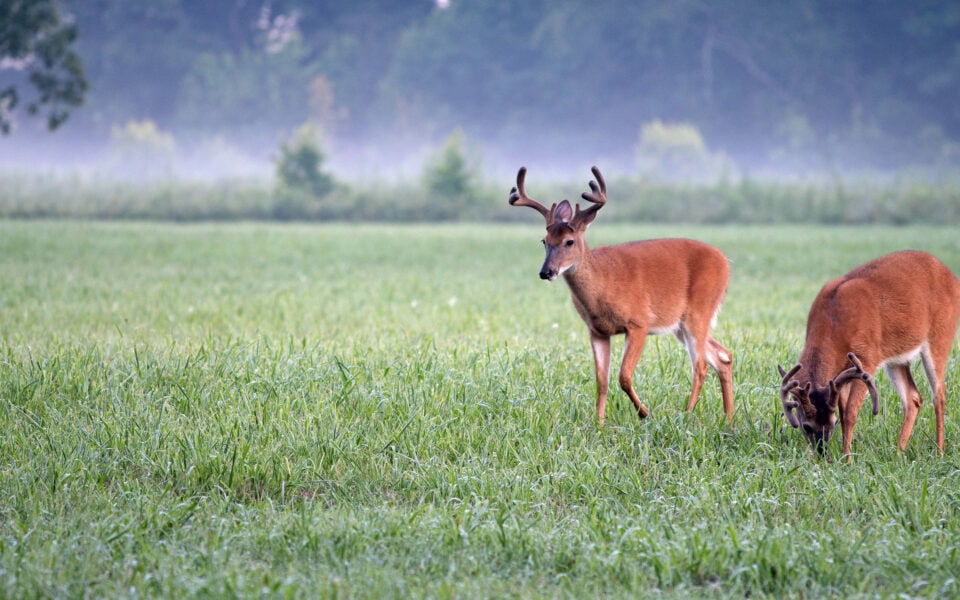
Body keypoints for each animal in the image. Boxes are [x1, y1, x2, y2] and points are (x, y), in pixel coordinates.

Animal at [510, 166, 736, 424]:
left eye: (569, 241)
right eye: (544, 241)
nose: (546, 271)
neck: (603, 285)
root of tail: (725, 262)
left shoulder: (639, 323)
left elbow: (624, 376)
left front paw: (645, 413)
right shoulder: (597, 331)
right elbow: (602, 381)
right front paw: (599, 423)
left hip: (699, 311)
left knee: (700, 365)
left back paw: (687, 414)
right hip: (681, 326)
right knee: (723, 356)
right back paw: (729, 417)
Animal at [780, 251, 960, 458]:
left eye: (832, 423)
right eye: (806, 426)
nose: (822, 453)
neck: (834, 323)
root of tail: (953, 278)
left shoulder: (867, 359)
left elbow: (850, 413)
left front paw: (847, 459)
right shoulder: (841, 373)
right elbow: (842, 411)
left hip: (940, 336)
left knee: (939, 395)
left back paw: (939, 452)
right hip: (896, 358)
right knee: (913, 398)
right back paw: (898, 453)